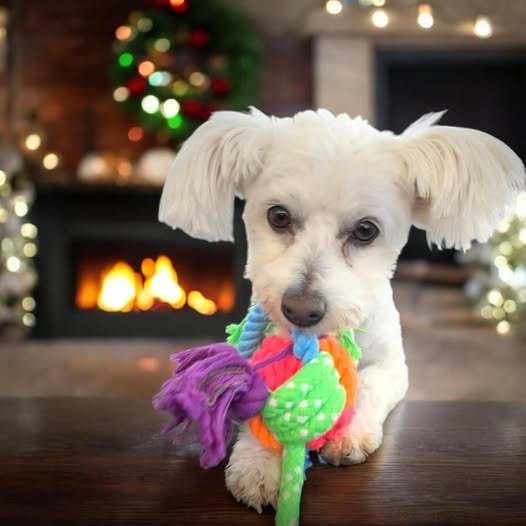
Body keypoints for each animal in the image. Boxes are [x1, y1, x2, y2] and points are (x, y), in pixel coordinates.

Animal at [159, 108, 524, 516]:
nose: (301, 310)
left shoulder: (394, 366)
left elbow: (368, 384)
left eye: (366, 230)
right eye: (278, 217)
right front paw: (258, 462)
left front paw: (350, 430)